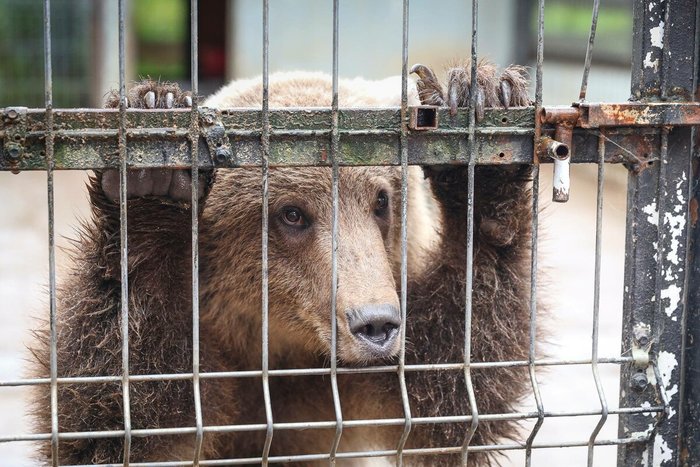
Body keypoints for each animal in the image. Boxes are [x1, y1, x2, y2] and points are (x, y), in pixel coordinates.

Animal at [31, 63, 532, 467]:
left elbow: (448, 401)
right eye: (292, 213)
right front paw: (151, 172)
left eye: (380, 201)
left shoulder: (355, 384)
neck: (278, 351)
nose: (376, 324)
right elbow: (112, 421)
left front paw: (486, 120)